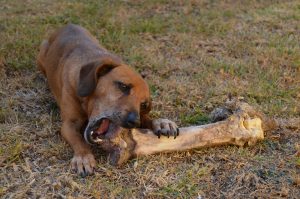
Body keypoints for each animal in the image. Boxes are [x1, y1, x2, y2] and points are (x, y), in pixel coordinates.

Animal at [37, 24, 178, 176]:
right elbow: (78, 140)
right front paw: (83, 157)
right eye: (123, 86)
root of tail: (67, 25)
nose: (135, 122)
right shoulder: (68, 124)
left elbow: (147, 119)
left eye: (143, 104)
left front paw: (161, 123)